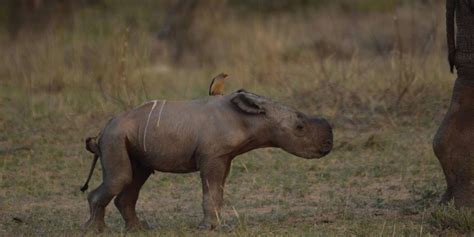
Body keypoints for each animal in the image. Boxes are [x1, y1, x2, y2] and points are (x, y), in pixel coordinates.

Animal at [80, 89, 334, 231]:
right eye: (299, 128)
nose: (328, 144)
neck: (251, 118)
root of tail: (102, 131)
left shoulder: (224, 156)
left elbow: (218, 191)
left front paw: (218, 225)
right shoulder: (212, 156)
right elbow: (211, 191)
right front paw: (209, 227)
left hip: (128, 137)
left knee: (136, 176)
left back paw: (139, 229)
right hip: (114, 136)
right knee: (121, 178)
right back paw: (95, 230)